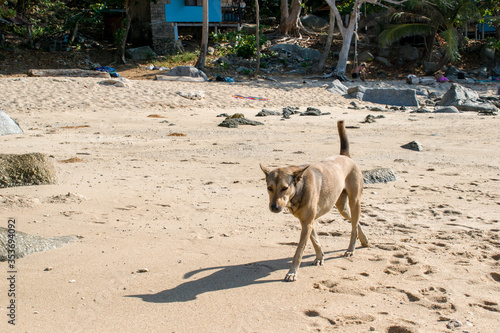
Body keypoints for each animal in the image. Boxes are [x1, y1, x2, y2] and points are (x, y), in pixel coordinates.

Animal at [260, 119, 370, 280]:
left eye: (284, 188)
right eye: (269, 188)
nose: (274, 207)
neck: (298, 189)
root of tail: (345, 156)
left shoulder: (307, 223)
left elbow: (299, 251)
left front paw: (292, 272)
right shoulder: (307, 221)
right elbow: (315, 240)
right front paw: (319, 257)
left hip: (354, 200)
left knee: (354, 226)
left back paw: (351, 248)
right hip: (342, 207)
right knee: (355, 222)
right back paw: (364, 240)